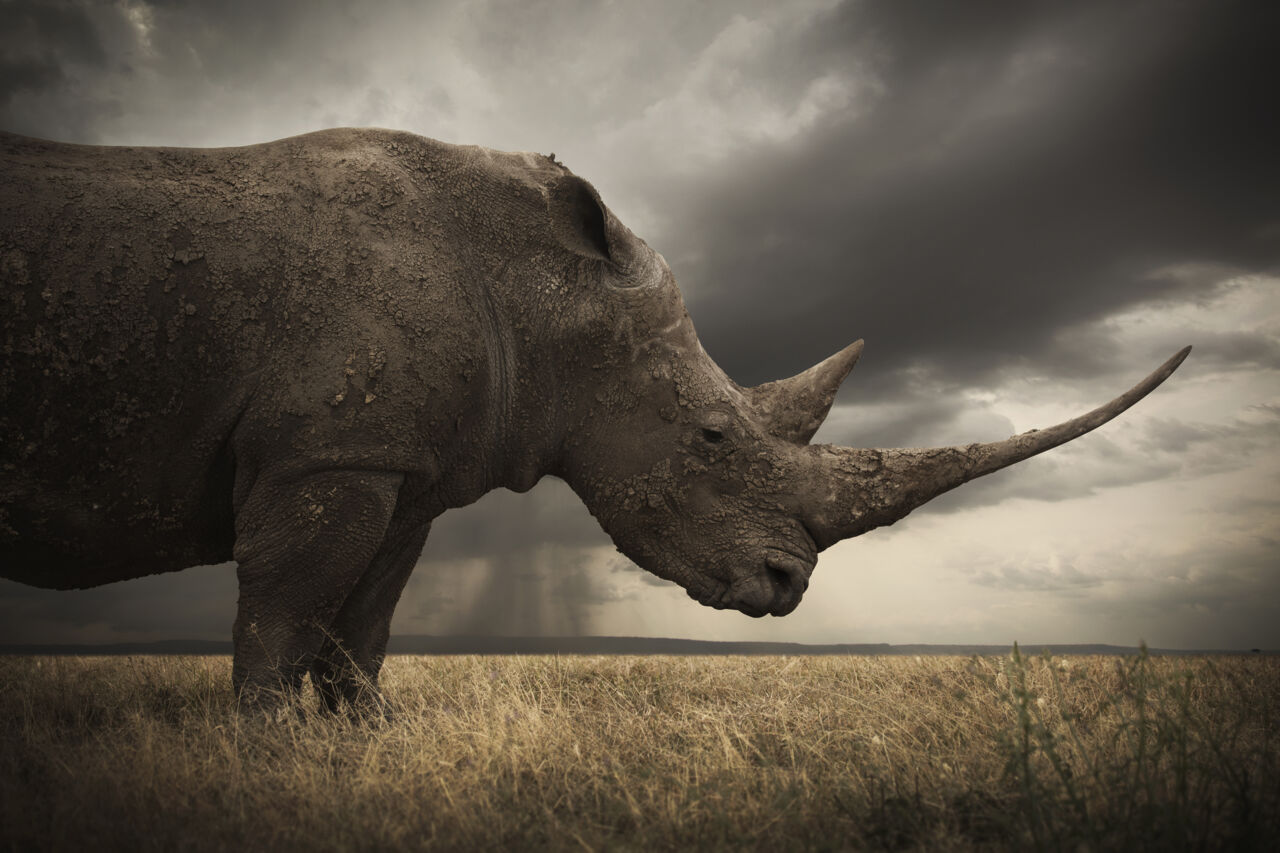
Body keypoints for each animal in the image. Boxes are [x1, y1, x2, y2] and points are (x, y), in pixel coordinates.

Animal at [0, 128, 1188, 710]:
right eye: (712, 437)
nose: (786, 586)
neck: (545, 294)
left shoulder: (396, 465)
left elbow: (362, 625)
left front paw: (361, 743)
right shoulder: (326, 452)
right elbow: (286, 615)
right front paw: (261, 754)